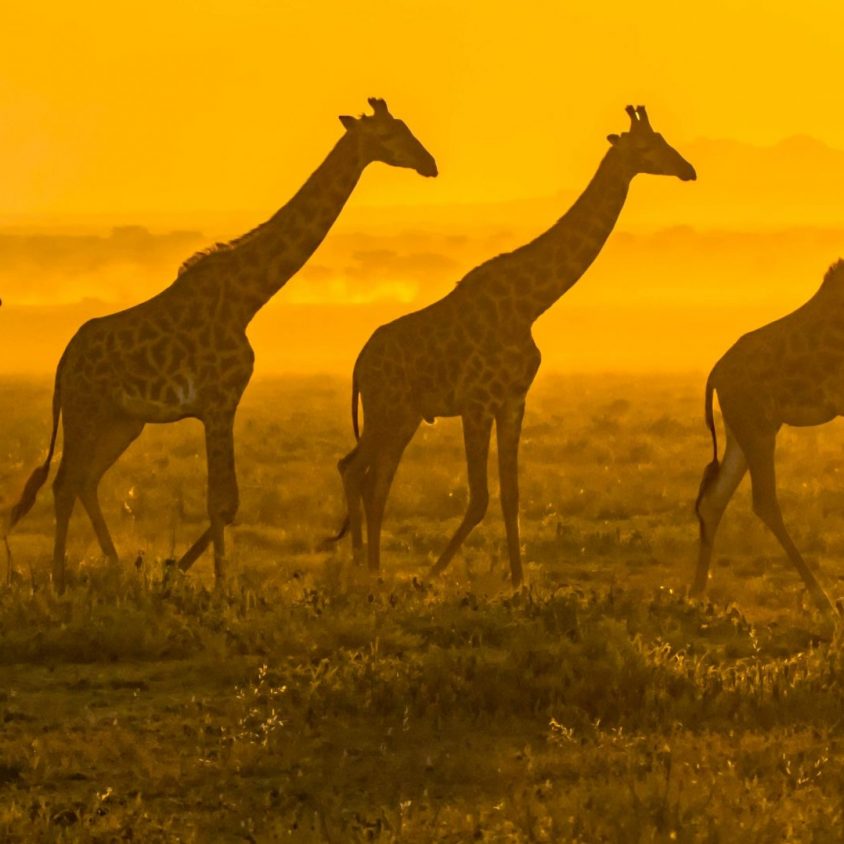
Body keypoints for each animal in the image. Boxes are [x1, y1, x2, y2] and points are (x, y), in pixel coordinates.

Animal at [6, 97, 438, 592]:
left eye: (405, 125)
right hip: (86, 410)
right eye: (387, 134)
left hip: (123, 420)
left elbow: (227, 504)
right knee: (64, 483)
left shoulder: (217, 403)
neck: (246, 298)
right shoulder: (218, 401)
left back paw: (115, 566)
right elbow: (222, 501)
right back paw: (59, 579)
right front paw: (217, 583)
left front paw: (179, 570)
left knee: (85, 480)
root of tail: (64, 360)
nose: (430, 164)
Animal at [332, 105, 696, 588]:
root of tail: (359, 363)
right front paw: (433, 573)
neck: (530, 304)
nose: (688, 169)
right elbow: (479, 496)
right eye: (646, 146)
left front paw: (518, 579)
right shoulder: (477, 402)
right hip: (386, 409)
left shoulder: (513, 401)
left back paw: (371, 568)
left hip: (403, 415)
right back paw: (361, 568)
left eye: (663, 138)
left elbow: (511, 494)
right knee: (354, 470)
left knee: (376, 480)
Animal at [692, 260, 844, 616]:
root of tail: (715, 374)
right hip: (757, 430)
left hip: (742, 432)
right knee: (764, 501)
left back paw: (696, 597)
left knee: (713, 499)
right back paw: (823, 600)